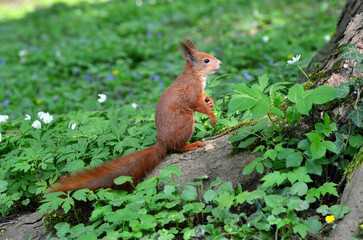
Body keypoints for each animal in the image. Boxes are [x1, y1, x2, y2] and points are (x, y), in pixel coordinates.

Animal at [47, 39, 223, 193]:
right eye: (206, 60)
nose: (220, 63)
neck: (194, 74)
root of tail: (162, 143)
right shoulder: (191, 92)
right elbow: (198, 105)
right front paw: (212, 116)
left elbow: (204, 98)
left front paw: (210, 101)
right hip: (185, 122)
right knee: (176, 148)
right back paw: (192, 145)